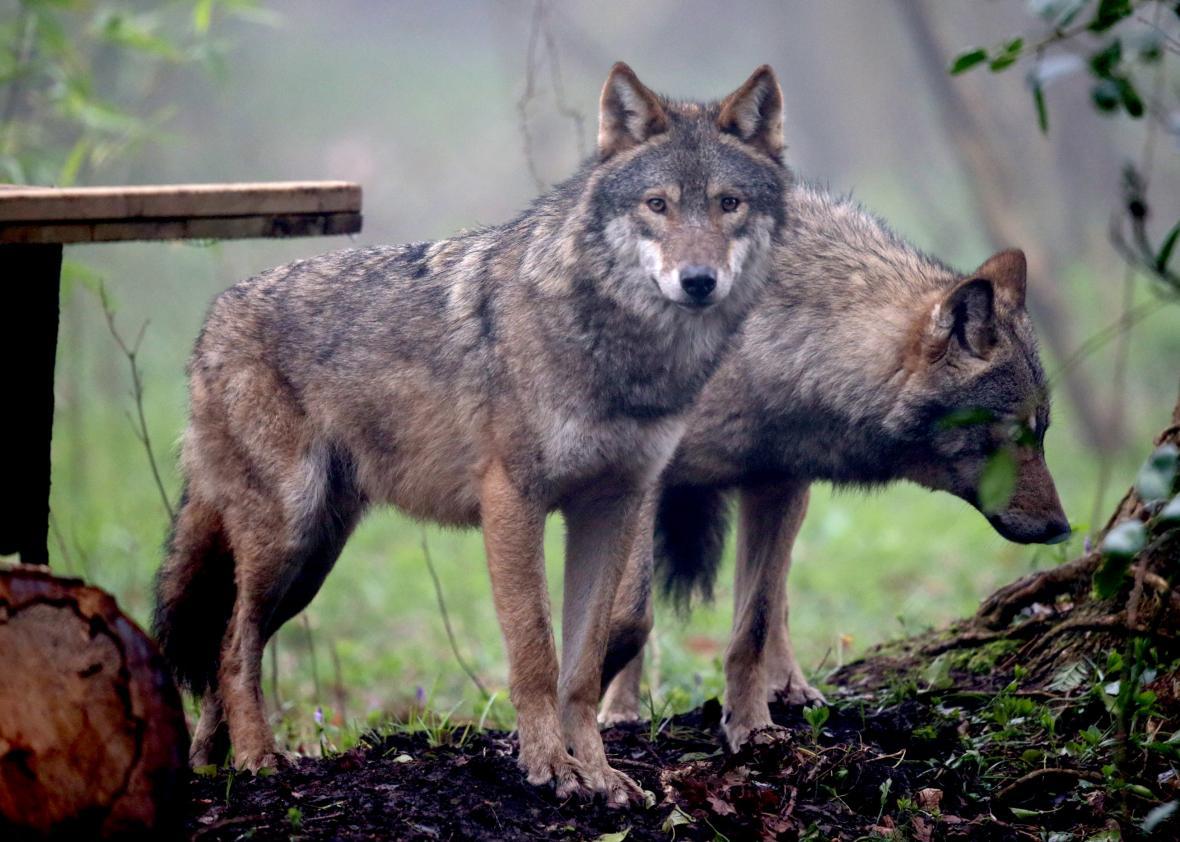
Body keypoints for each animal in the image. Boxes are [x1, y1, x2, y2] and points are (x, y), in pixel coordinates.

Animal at [149, 62, 792, 801]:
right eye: (657, 205)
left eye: (727, 204)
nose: (698, 281)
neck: (620, 353)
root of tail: (212, 322)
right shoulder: (512, 501)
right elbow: (536, 652)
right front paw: (550, 768)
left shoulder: (613, 508)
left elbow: (584, 666)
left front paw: (600, 774)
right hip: (288, 538)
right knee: (232, 646)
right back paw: (258, 758)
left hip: (312, 558)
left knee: (225, 645)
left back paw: (212, 765)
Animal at [599, 183, 1071, 750]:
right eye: (1014, 433)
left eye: (1042, 434)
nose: (1063, 529)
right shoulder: (639, 482)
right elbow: (627, 616)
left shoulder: (775, 483)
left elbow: (754, 625)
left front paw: (752, 728)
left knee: (776, 600)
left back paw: (792, 687)